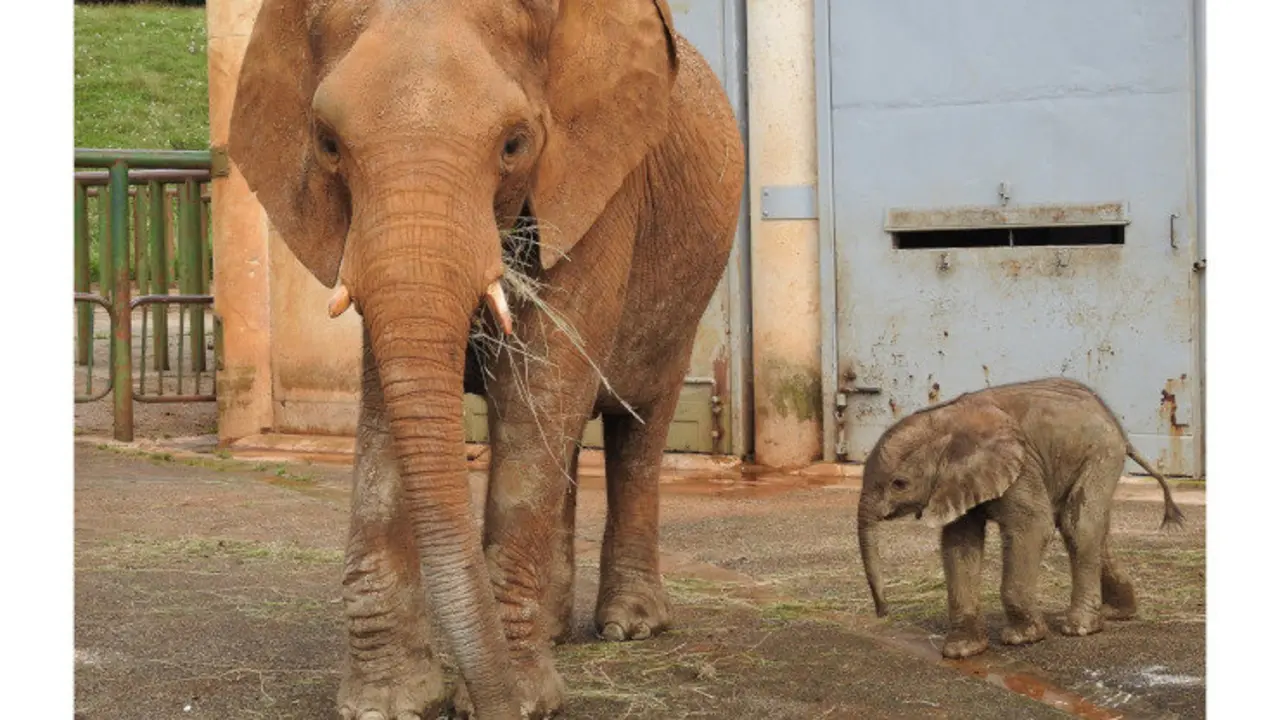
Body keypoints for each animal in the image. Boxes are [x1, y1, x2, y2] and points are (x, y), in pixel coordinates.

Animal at [227, 1, 745, 717]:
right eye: (328, 145)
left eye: (514, 145)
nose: (477, 695)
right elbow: (392, 407)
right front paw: (391, 704)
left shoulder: (599, 187)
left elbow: (544, 383)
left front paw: (520, 703)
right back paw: (555, 630)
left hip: (689, 290)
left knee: (636, 428)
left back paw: (631, 625)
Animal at [855, 377, 1184, 660]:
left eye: (899, 484)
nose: (884, 612)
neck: (944, 420)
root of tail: (1118, 427)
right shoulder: (959, 480)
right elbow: (959, 543)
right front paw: (962, 651)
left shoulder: (1022, 466)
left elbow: (1032, 526)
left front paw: (1023, 639)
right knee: (1089, 528)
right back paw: (1116, 613)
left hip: (1101, 454)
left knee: (1078, 525)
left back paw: (1080, 628)